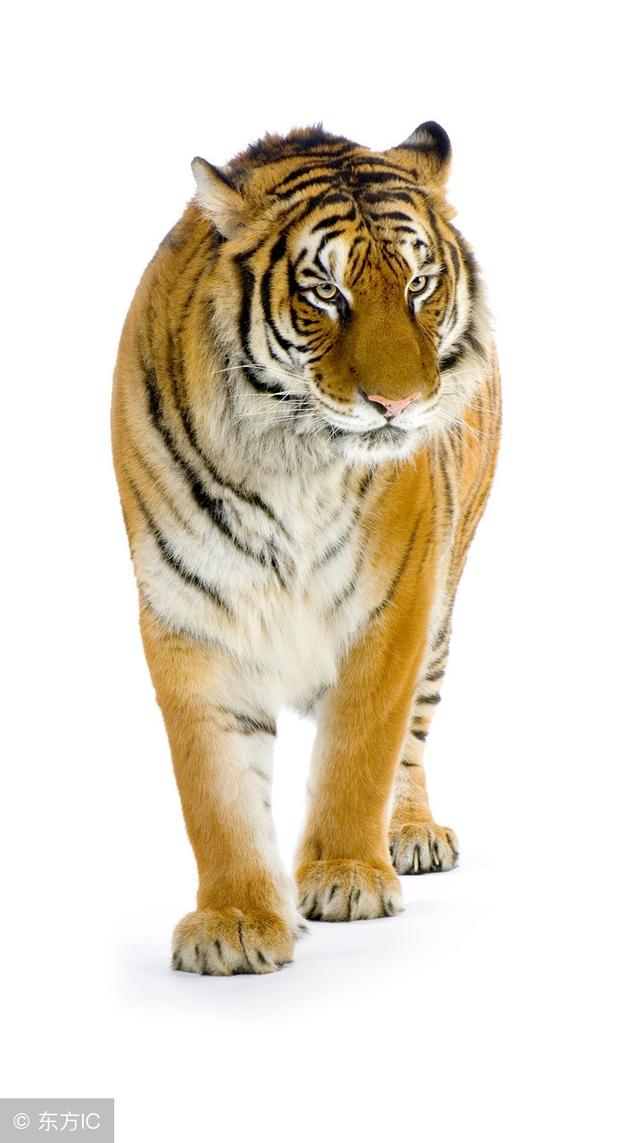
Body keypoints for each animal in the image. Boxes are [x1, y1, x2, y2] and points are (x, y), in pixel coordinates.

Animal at [111, 120, 500, 976]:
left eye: (420, 283)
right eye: (325, 292)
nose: (398, 403)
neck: (292, 456)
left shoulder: (395, 601)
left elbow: (361, 747)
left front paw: (347, 874)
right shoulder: (191, 610)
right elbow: (217, 788)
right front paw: (234, 918)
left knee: (413, 734)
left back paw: (411, 834)